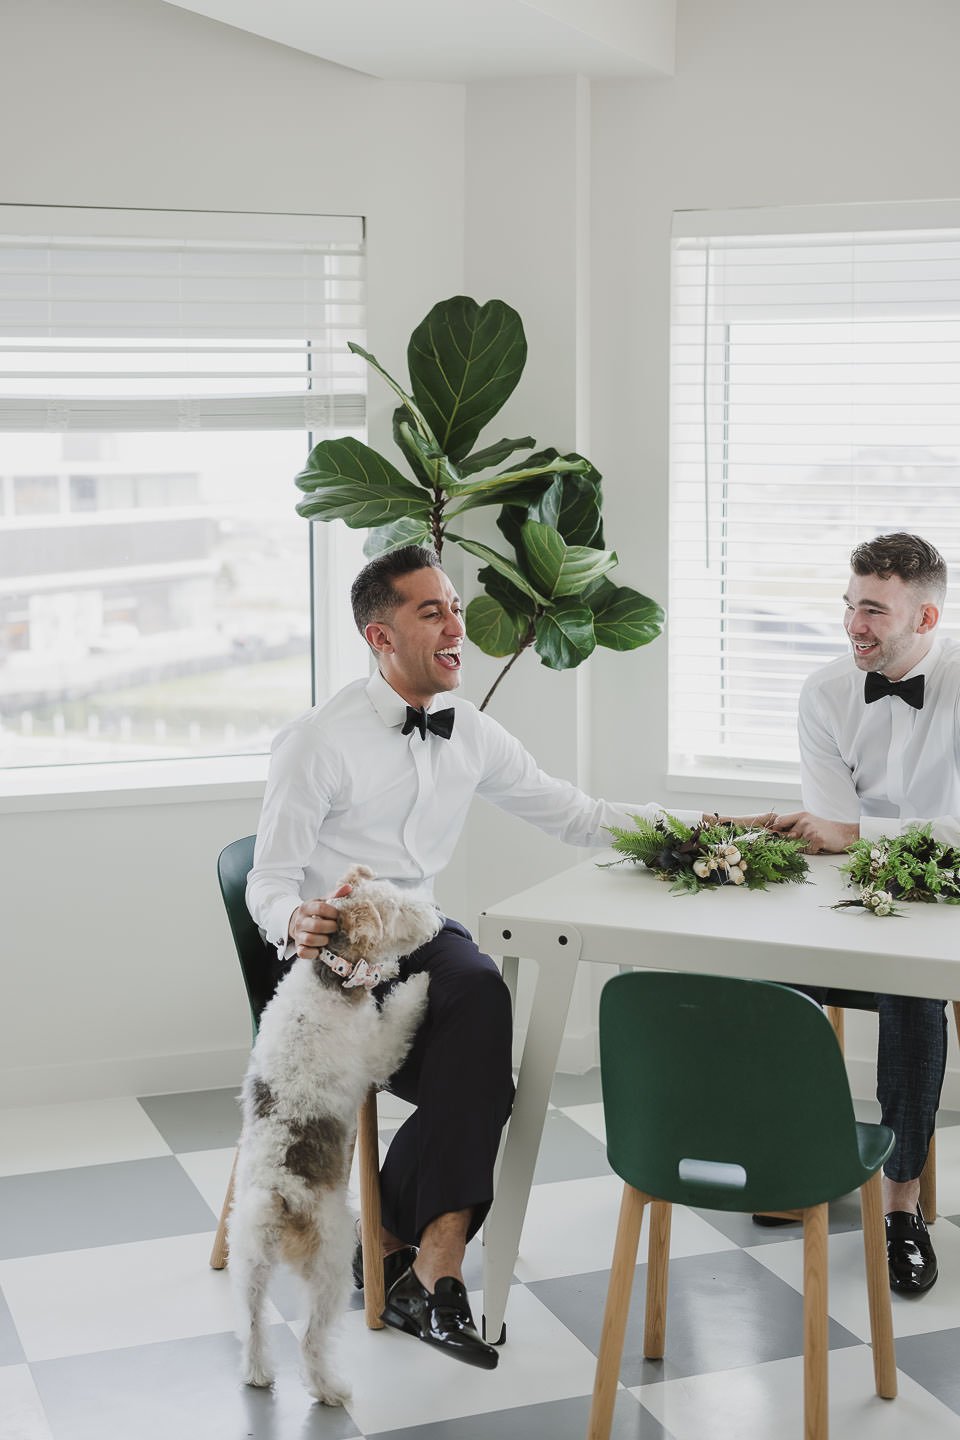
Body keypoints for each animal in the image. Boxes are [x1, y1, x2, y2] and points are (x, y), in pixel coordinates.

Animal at [228, 858, 443, 1399]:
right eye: (398, 907)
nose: (433, 914)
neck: (331, 972)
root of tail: (278, 1196)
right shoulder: (379, 1053)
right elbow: (401, 1014)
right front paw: (416, 982)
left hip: (249, 1265)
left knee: (254, 1325)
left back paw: (258, 1373)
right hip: (331, 1262)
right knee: (309, 1338)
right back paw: (329, 1388)